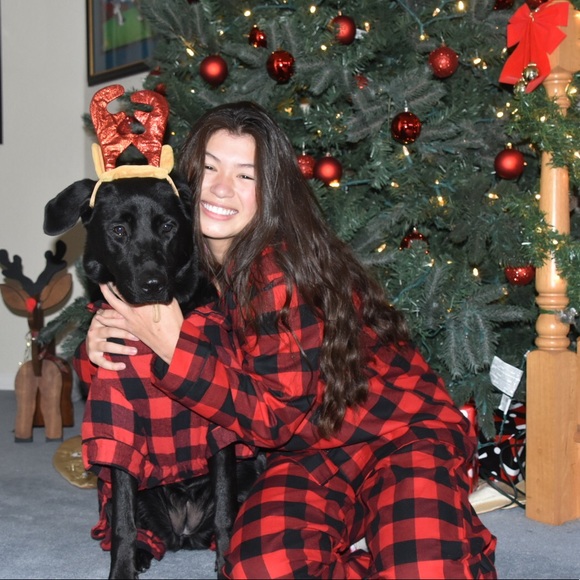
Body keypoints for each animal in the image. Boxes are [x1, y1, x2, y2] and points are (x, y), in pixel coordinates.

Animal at [44, 172, 265, 579]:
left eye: (167, 227)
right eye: (118, 230)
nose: (152, 284)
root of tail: (184, 533)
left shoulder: (220, 429)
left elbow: (226, 513)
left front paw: (227, 565)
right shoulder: (118, 430)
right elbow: (123, 522)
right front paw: (122, 569)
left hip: (252, 470)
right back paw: (144, 552)